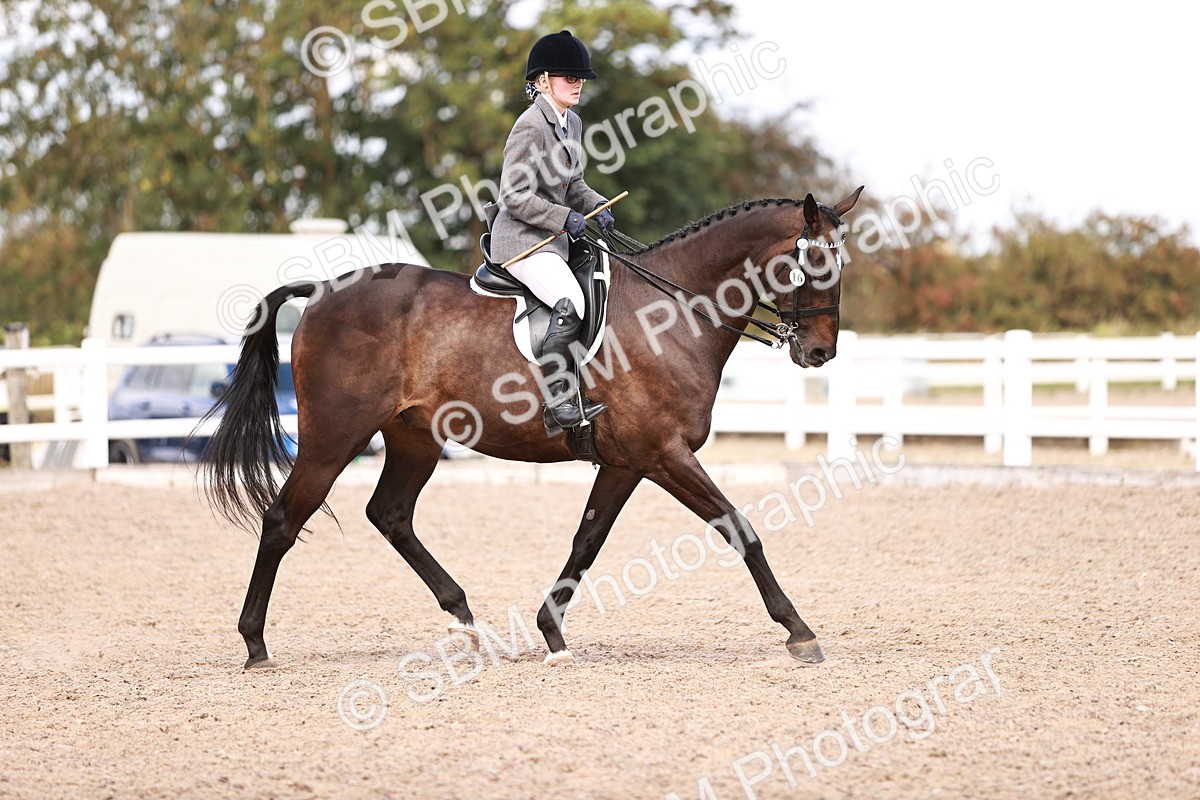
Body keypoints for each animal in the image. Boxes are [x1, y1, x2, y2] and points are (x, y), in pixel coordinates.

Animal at [201, 187, 864, 669]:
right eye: (812, 261)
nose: (821, 352)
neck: (672, 312)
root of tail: (321, 290)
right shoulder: (664, 454)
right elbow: (740, 529)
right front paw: (799, 632)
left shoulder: (627, 462)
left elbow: (586, 542)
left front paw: (552, 633)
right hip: (333, 439)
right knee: (283, 521)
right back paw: (255, 645)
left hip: (415, 437)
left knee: (390, 514)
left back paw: (468, 622)